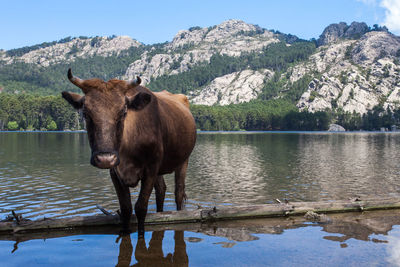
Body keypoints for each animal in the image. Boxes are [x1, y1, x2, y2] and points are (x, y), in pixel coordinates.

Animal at [61, 68, 197, 237]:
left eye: (123, 112)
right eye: (85, 113)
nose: (105, 159)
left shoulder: (151, 169)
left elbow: (141, 207)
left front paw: (140, 233)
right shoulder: (115, 172)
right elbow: (126, 208)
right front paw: (125, 232)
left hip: (183, 160)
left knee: (178, 192)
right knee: (161, 190)